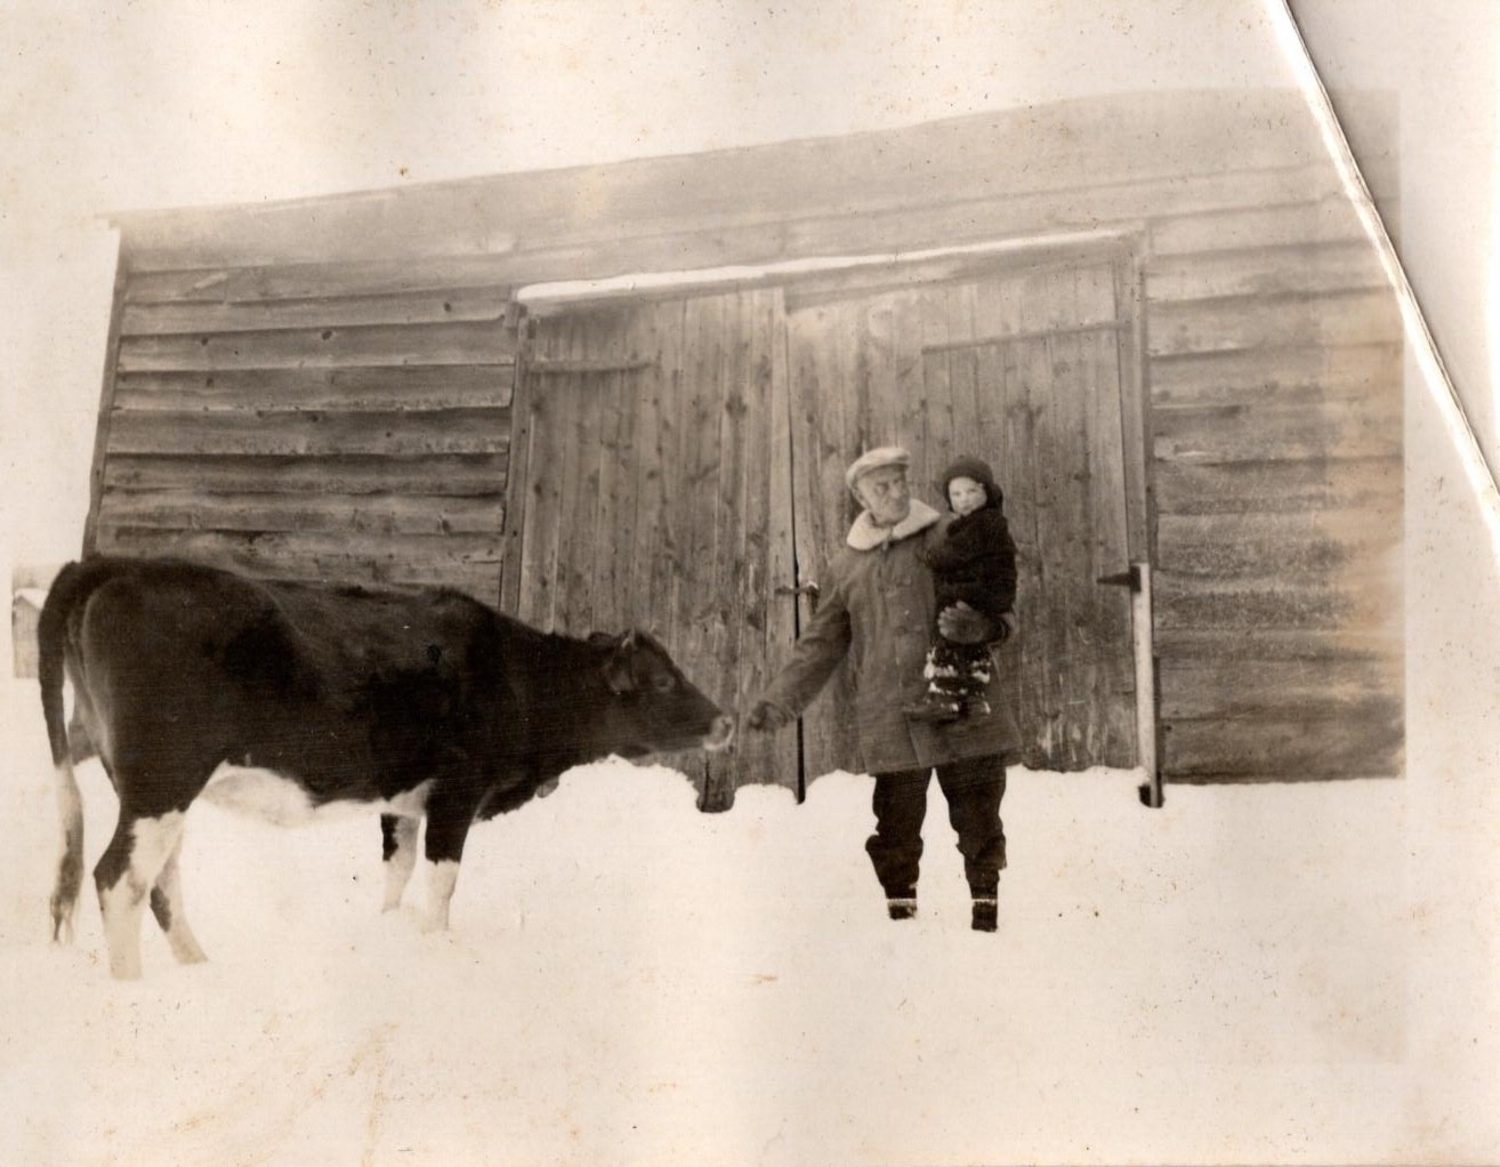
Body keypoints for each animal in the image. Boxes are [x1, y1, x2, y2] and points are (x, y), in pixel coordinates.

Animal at [38, 555, 735, 972]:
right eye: (664, 680)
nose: (725, 721)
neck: (518, 676)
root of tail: (116, 564)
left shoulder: (403, 798)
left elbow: (396, 870)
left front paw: (389, 934)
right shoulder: (458, 789)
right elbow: (441, 880)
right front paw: (437, 947)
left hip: (153, 787)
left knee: (159, 880)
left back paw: (198, 967)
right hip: (163, 778)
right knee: (118, 880)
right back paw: (133, 987)